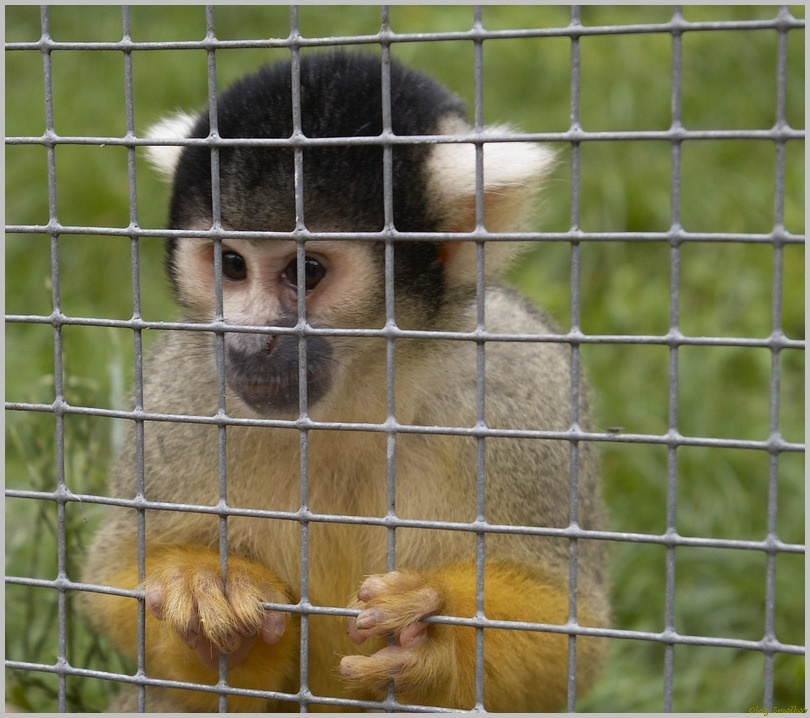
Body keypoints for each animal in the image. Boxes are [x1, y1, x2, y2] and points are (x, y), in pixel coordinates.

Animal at [81, 51, 609, 712]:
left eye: (306, 270)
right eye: (231, 264)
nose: (249, 342)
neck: (351, 398)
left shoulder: (520, 391)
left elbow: (569, 628)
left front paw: (430, 638)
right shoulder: (183, 391)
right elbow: (115, 578)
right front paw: (207, 600)